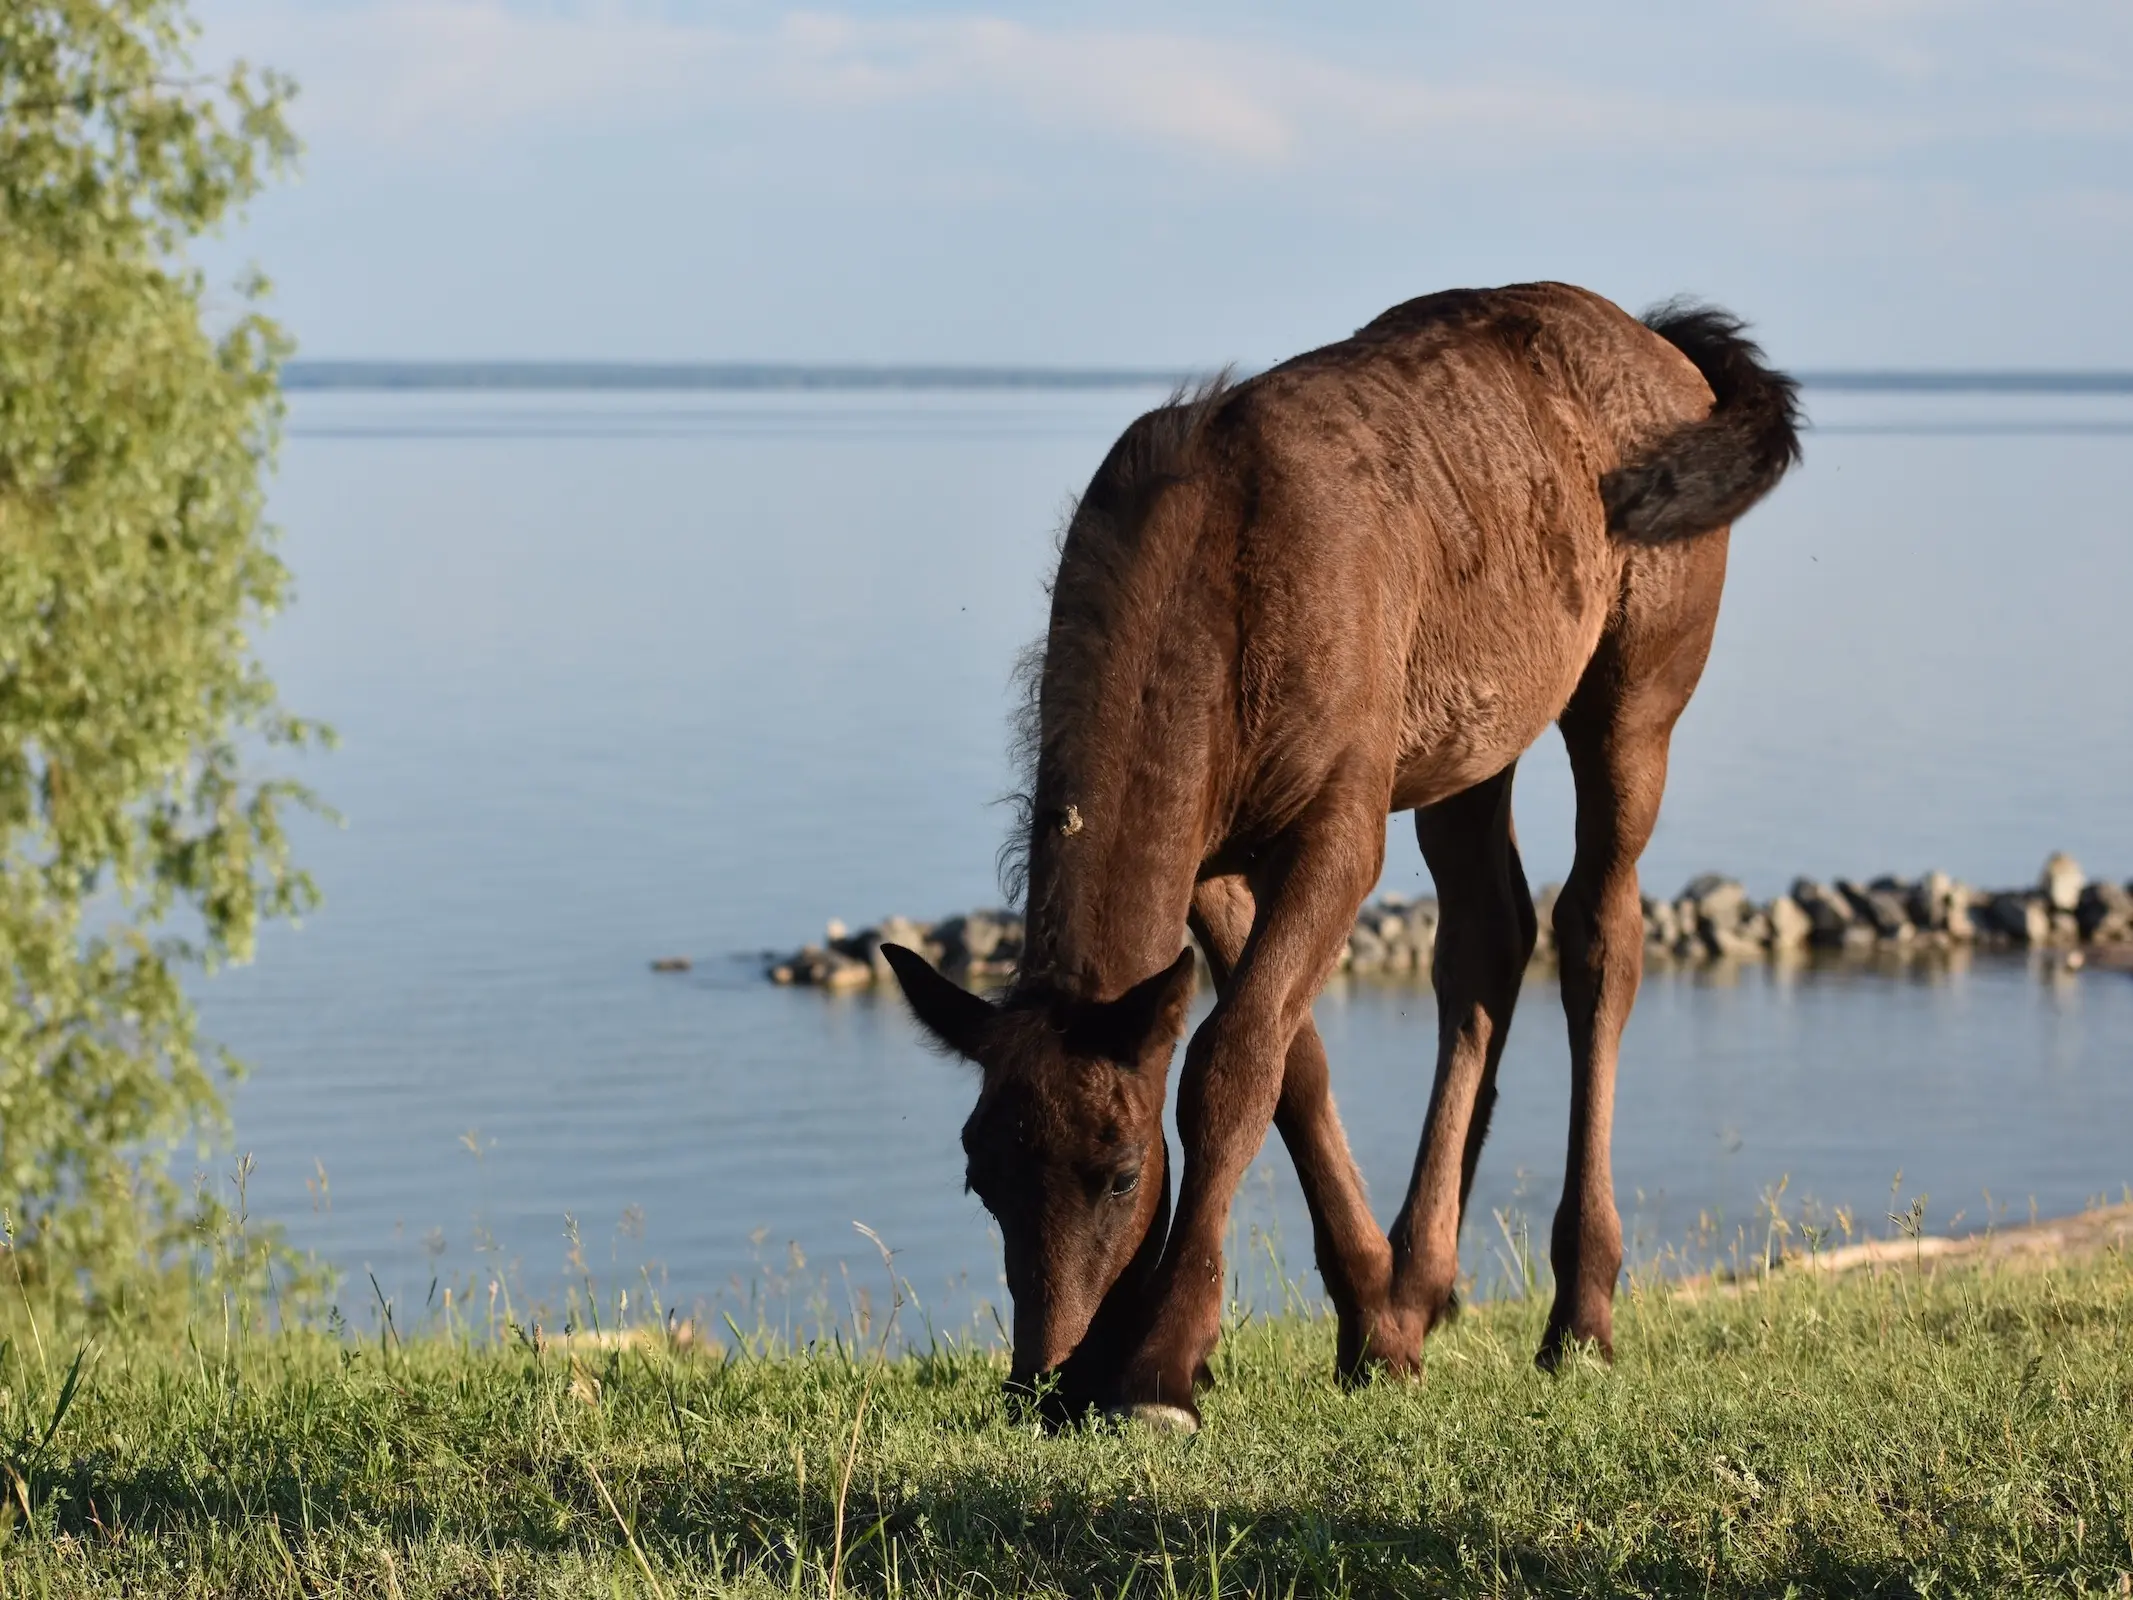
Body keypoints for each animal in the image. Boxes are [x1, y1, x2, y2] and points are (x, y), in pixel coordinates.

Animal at [883, 281, 1800, 1433]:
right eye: (980, 1174)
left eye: (1122, 1172)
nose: (1045, 1382)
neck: (1212, 608)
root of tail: (1668, 348)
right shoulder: (1215, 862)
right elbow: (1291, 1063)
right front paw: (1376, 1323)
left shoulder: (1338, 825)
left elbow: (1231, 1062)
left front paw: (1165, 1366)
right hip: (1466, 753)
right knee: (1486, 942)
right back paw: (1426, 1279)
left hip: (1636, 692)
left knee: (1601, 933)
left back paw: (1580, 1313)